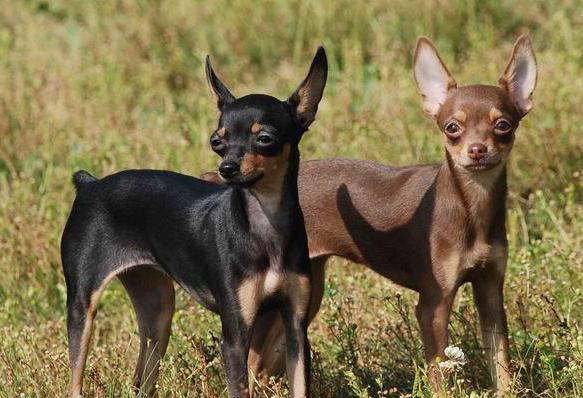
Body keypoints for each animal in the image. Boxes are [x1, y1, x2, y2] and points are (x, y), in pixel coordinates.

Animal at [64, 47, 330, 398]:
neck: (264, 223)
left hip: (157, 312)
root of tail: (89, 185)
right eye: (217, 142)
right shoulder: (234, 338)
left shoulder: (296, 331)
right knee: (75, 378)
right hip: (83, 309)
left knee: (141, 380)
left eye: (265, 138)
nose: (227, 169)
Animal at [205, 35, 540, 394]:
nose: (477, 149)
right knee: (252, 365)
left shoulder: (490, 294)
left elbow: (501, 366)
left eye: (503, 126)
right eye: (452, 128)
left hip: (301, 300)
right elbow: (441, 380)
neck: (470, 207)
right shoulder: (432, 307)